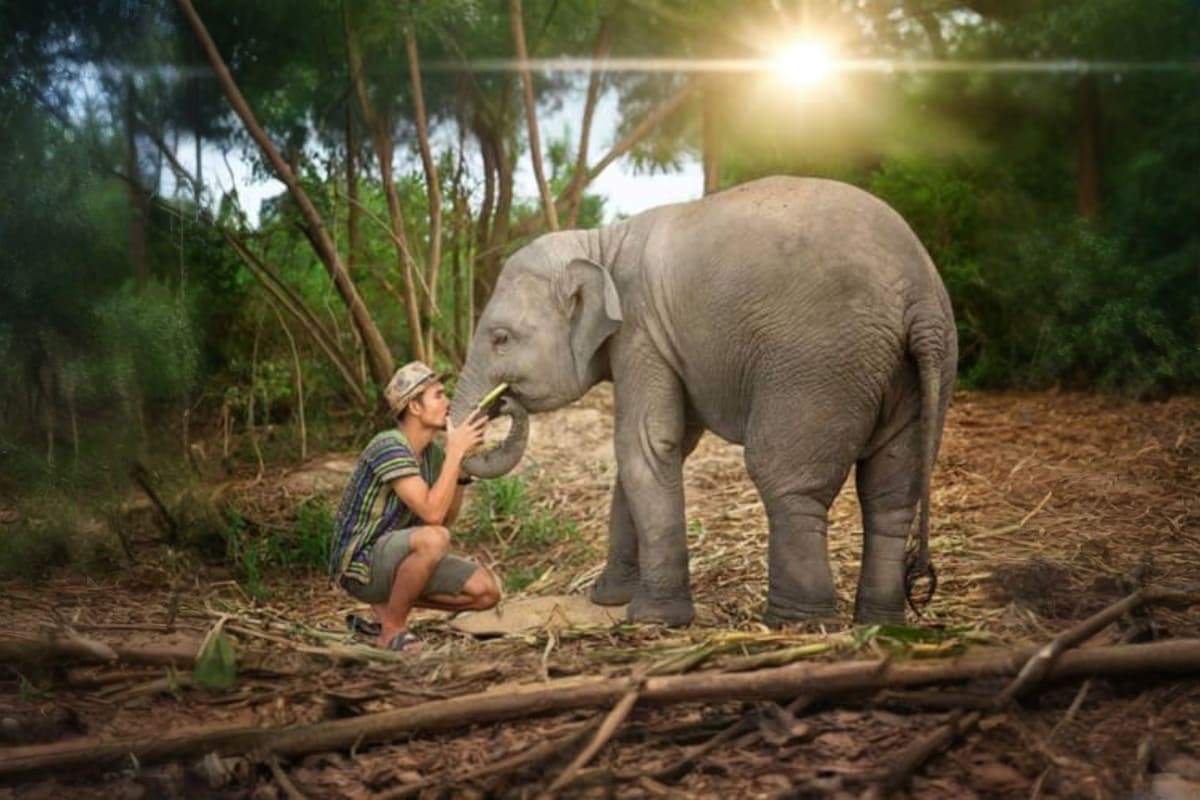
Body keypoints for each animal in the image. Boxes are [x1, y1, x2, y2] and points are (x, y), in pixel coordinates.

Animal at [450, 176, 957, 627]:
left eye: (500, 338)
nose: (501, 403)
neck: (602, 244)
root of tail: (919, 298)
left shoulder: (641, 332)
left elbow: (645, 444)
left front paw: (654, 620)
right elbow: (653, 451)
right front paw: (610, 599)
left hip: (821, 366)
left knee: (787, 481)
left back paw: (797, 624)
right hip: (916, 374)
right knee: (891, 495)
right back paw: (880, 624)